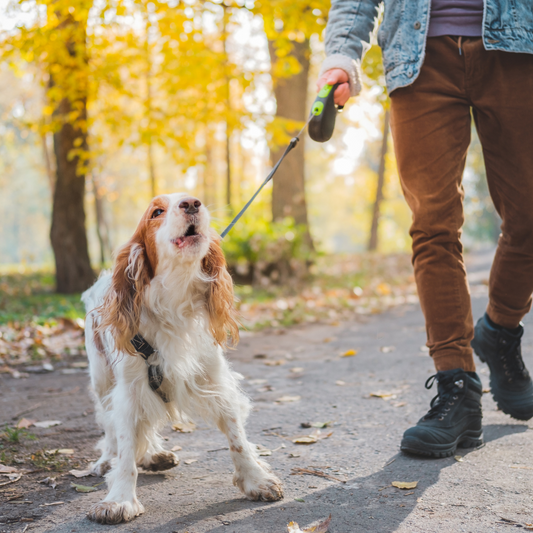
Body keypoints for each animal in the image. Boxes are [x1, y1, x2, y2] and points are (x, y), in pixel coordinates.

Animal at [82, 193, 282, 520]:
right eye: (156, 212)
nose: (191, 203)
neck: (174, 300)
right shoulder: (130, 389)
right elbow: (125, 446)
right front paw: (119, 499)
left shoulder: (215, 380)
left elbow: (237, 438)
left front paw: (256, 479)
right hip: (102, 380)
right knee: (110, 426)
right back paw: (107, 460)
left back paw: (154, 455)